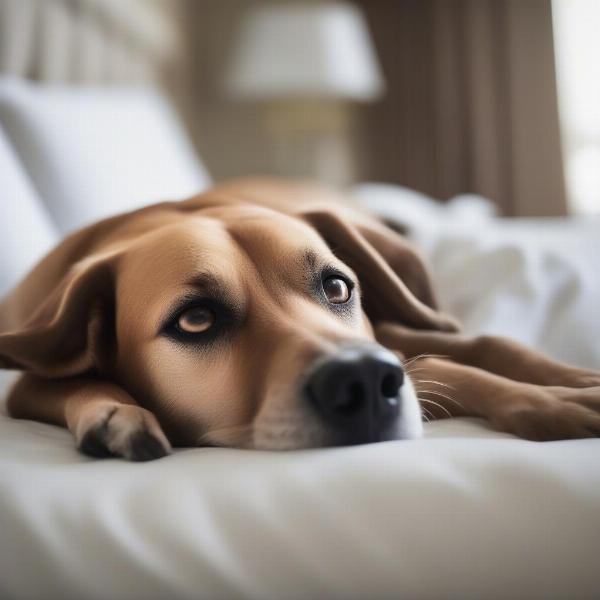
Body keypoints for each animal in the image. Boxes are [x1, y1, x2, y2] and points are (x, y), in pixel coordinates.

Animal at [1, 179, 600, 460]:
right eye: (195, 320)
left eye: (337, 287)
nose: (364, 379)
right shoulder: (28, 385)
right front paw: (115, 413)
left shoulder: (387, 334)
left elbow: (472, 356)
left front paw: (559, 390)